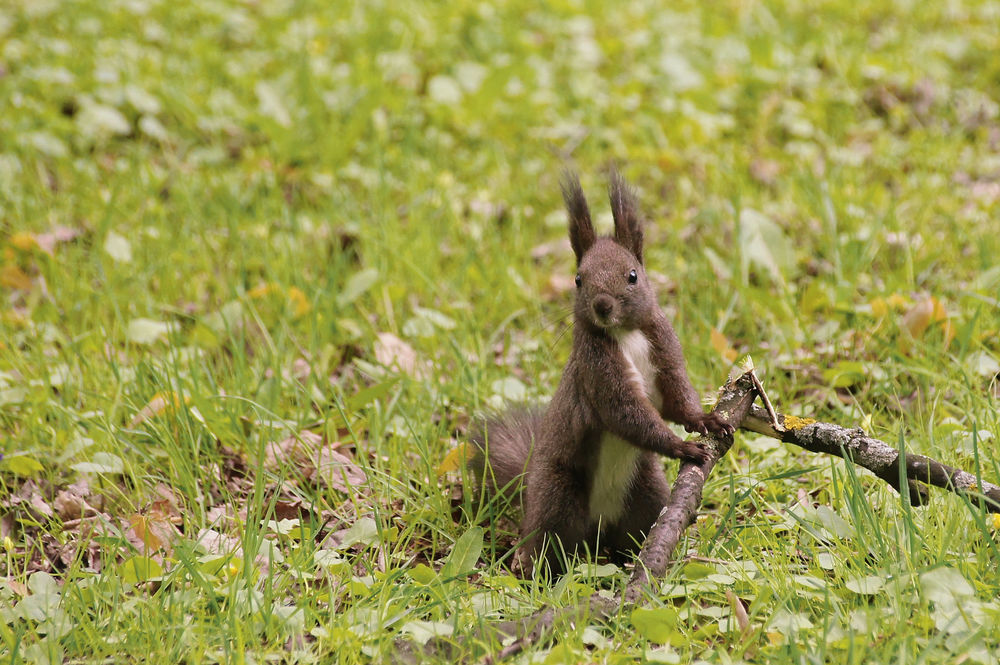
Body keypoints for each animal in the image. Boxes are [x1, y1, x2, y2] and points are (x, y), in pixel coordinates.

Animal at [470, 169, 735, 576]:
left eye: (633, 275)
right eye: (578, 279)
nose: (603, 305)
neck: (625, 334)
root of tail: (598, 529)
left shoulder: (664, 351)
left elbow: (676, 398)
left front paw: (705, 420)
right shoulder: (597, 372)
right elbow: (626, 413)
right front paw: (680, 446)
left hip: (646, 494)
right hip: (558, 500)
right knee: (547, 545)